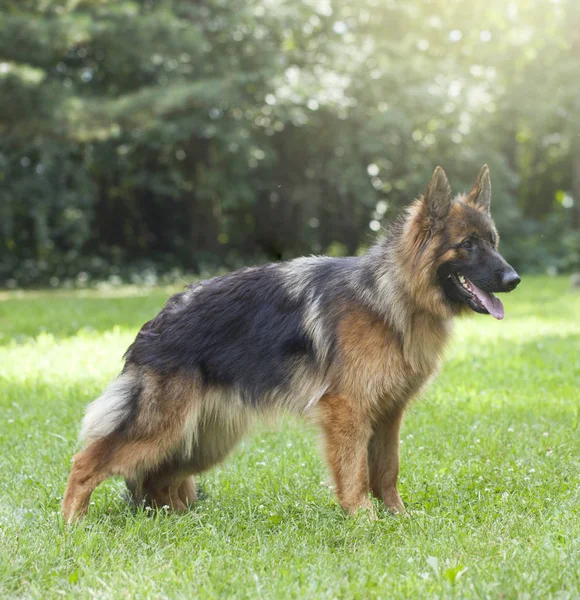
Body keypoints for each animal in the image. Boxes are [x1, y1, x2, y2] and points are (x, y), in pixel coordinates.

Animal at [63, 166, 520, 524]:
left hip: (203, 439)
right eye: (467, 245)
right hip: (162, 429)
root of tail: (157, 322)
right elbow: (355, 473)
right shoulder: (347, 412)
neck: (392, 296)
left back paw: (177, 522)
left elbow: (387, 471)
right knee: (86, 462)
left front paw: (398, 518)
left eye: (493, 241)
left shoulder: (389, 415)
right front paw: (364, 522)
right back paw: (72, 525)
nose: (514, 279)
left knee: (161, 478)